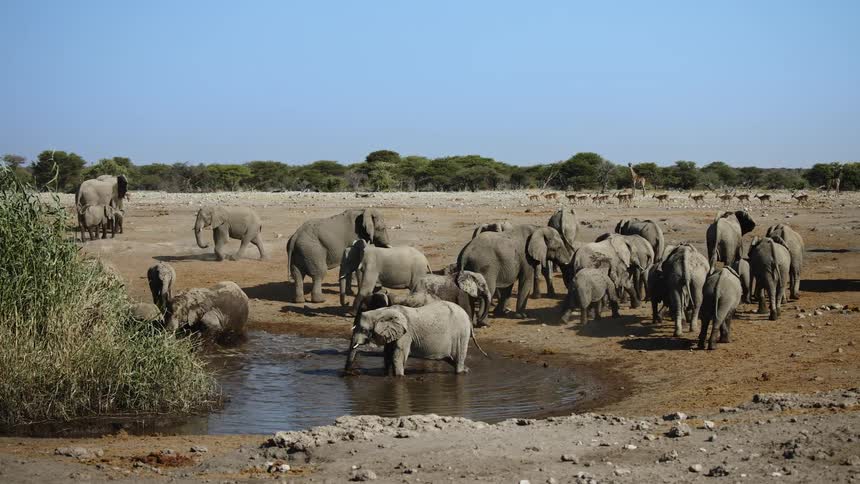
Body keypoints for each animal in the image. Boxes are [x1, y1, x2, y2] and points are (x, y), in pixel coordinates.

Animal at [345, 301, 475, 376]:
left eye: (364, 330)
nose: (353, 372)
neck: (382, 311)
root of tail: (468, 318)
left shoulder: (406, 334)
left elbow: (398, 356)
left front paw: (399, 377)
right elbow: (387, 354)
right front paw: (387, 375)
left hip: (462, 334)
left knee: (458, 358)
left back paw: (461, 372)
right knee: (450, 358)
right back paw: (466, 370)